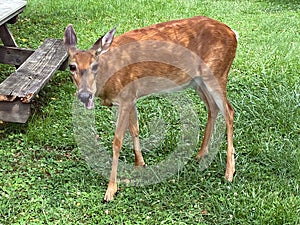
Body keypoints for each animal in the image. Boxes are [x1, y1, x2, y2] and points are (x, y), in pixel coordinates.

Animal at [64, 15, 238, 202]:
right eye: (72, 66)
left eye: (95, 66)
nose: (84, 95)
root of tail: (233, 33)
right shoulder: (131, 97)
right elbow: (135, 129)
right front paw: (140, 163)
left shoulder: (126, 97)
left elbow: (117, 141)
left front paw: (110, 190)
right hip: (198, 81)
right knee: (213, 107)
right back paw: (201, 154)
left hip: (217, 73)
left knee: (229, 111)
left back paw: (229, 173)